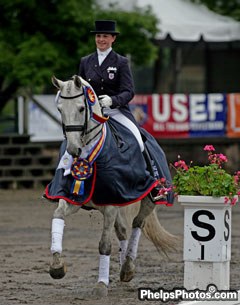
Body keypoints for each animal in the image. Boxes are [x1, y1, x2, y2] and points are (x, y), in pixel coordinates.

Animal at [44, 75, 176, 296]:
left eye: (81, 108)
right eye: (60, 109)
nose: (73, 150)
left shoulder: (111, 204)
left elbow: (104, 245)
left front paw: (101, 285)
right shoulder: (72, 198)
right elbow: (57, 216)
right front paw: (57, 267)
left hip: (149, 198)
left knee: (137, 224)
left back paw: (128, 267)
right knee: (122, 231)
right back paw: (123, 268)